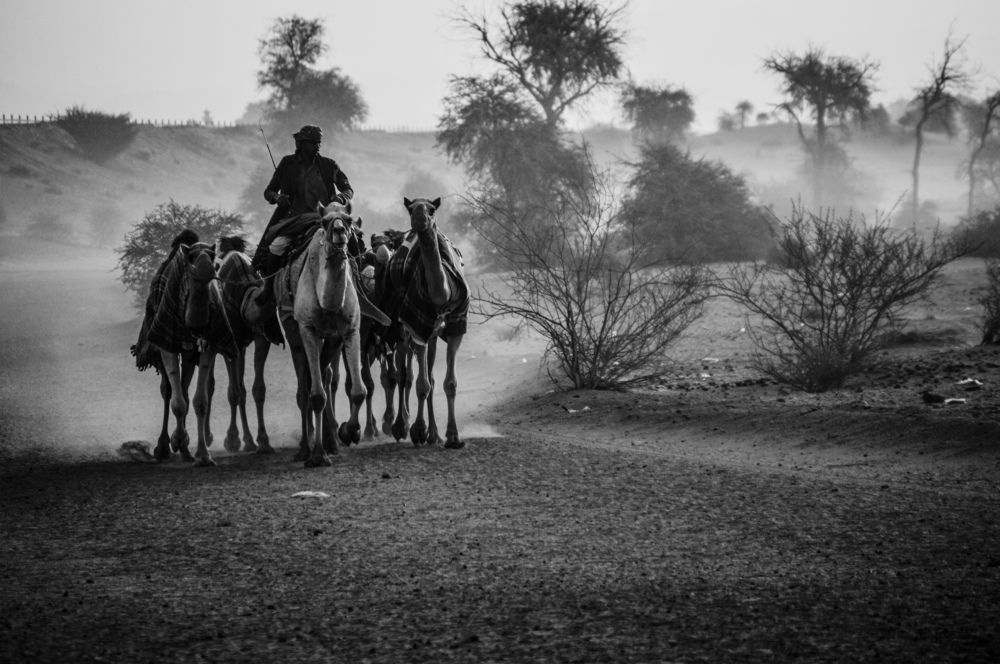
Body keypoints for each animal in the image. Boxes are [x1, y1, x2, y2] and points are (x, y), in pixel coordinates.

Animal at [274, 202, 389, 467]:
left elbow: (358, 390)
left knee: (325, 378)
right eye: (325, 222)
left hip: (332, 340)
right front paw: (318, 455)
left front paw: (348, 432)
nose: (339, 232)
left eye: (348, 219)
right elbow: (316, 395)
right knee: (305, 386)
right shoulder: (308, 329)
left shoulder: (350, 330)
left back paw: (332, 442)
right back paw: (305, 449)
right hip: (292, 328)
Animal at [383, 197, 469, 449]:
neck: (443, 294)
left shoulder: (455, 327)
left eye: (431, 210)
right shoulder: (416, 327)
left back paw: (434, 434)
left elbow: (448, 383)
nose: (419, 219)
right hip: (402, 327)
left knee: (426, 374)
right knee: (404, 374)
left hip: (431, 334)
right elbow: (421, 385)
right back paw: (401, 426)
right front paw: (417, 430)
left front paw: (452, 436)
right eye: (411, 209)